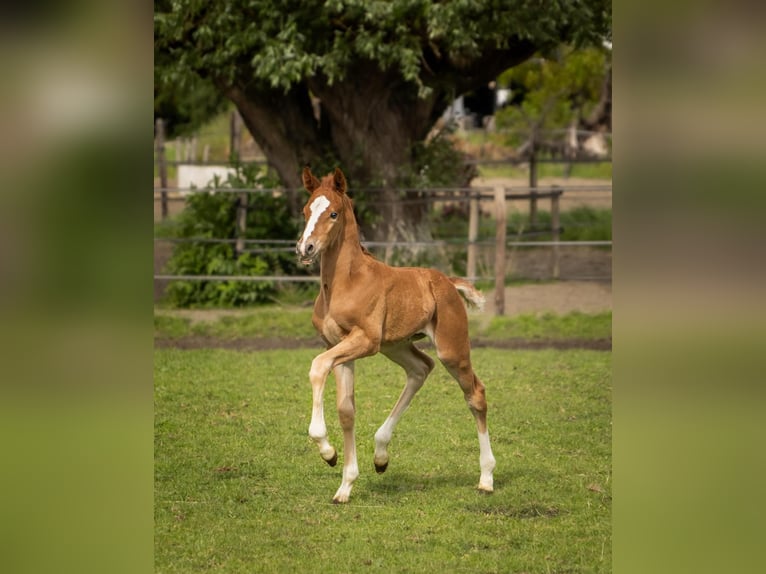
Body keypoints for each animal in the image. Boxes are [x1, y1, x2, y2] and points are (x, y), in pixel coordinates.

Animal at [295, 166, 496, 503]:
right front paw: (345, 484)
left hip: (450, 349)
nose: (305, 249)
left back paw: (486, 478)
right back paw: (380, 455)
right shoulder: (338, 345)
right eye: (306, 210)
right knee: (420, 369)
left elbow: (317, 366)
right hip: (397, 346)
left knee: (475, 393)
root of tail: (447, 281)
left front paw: (327, 452)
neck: (345, 282)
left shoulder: (364, 341)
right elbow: (346, 411)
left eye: (333, 213)